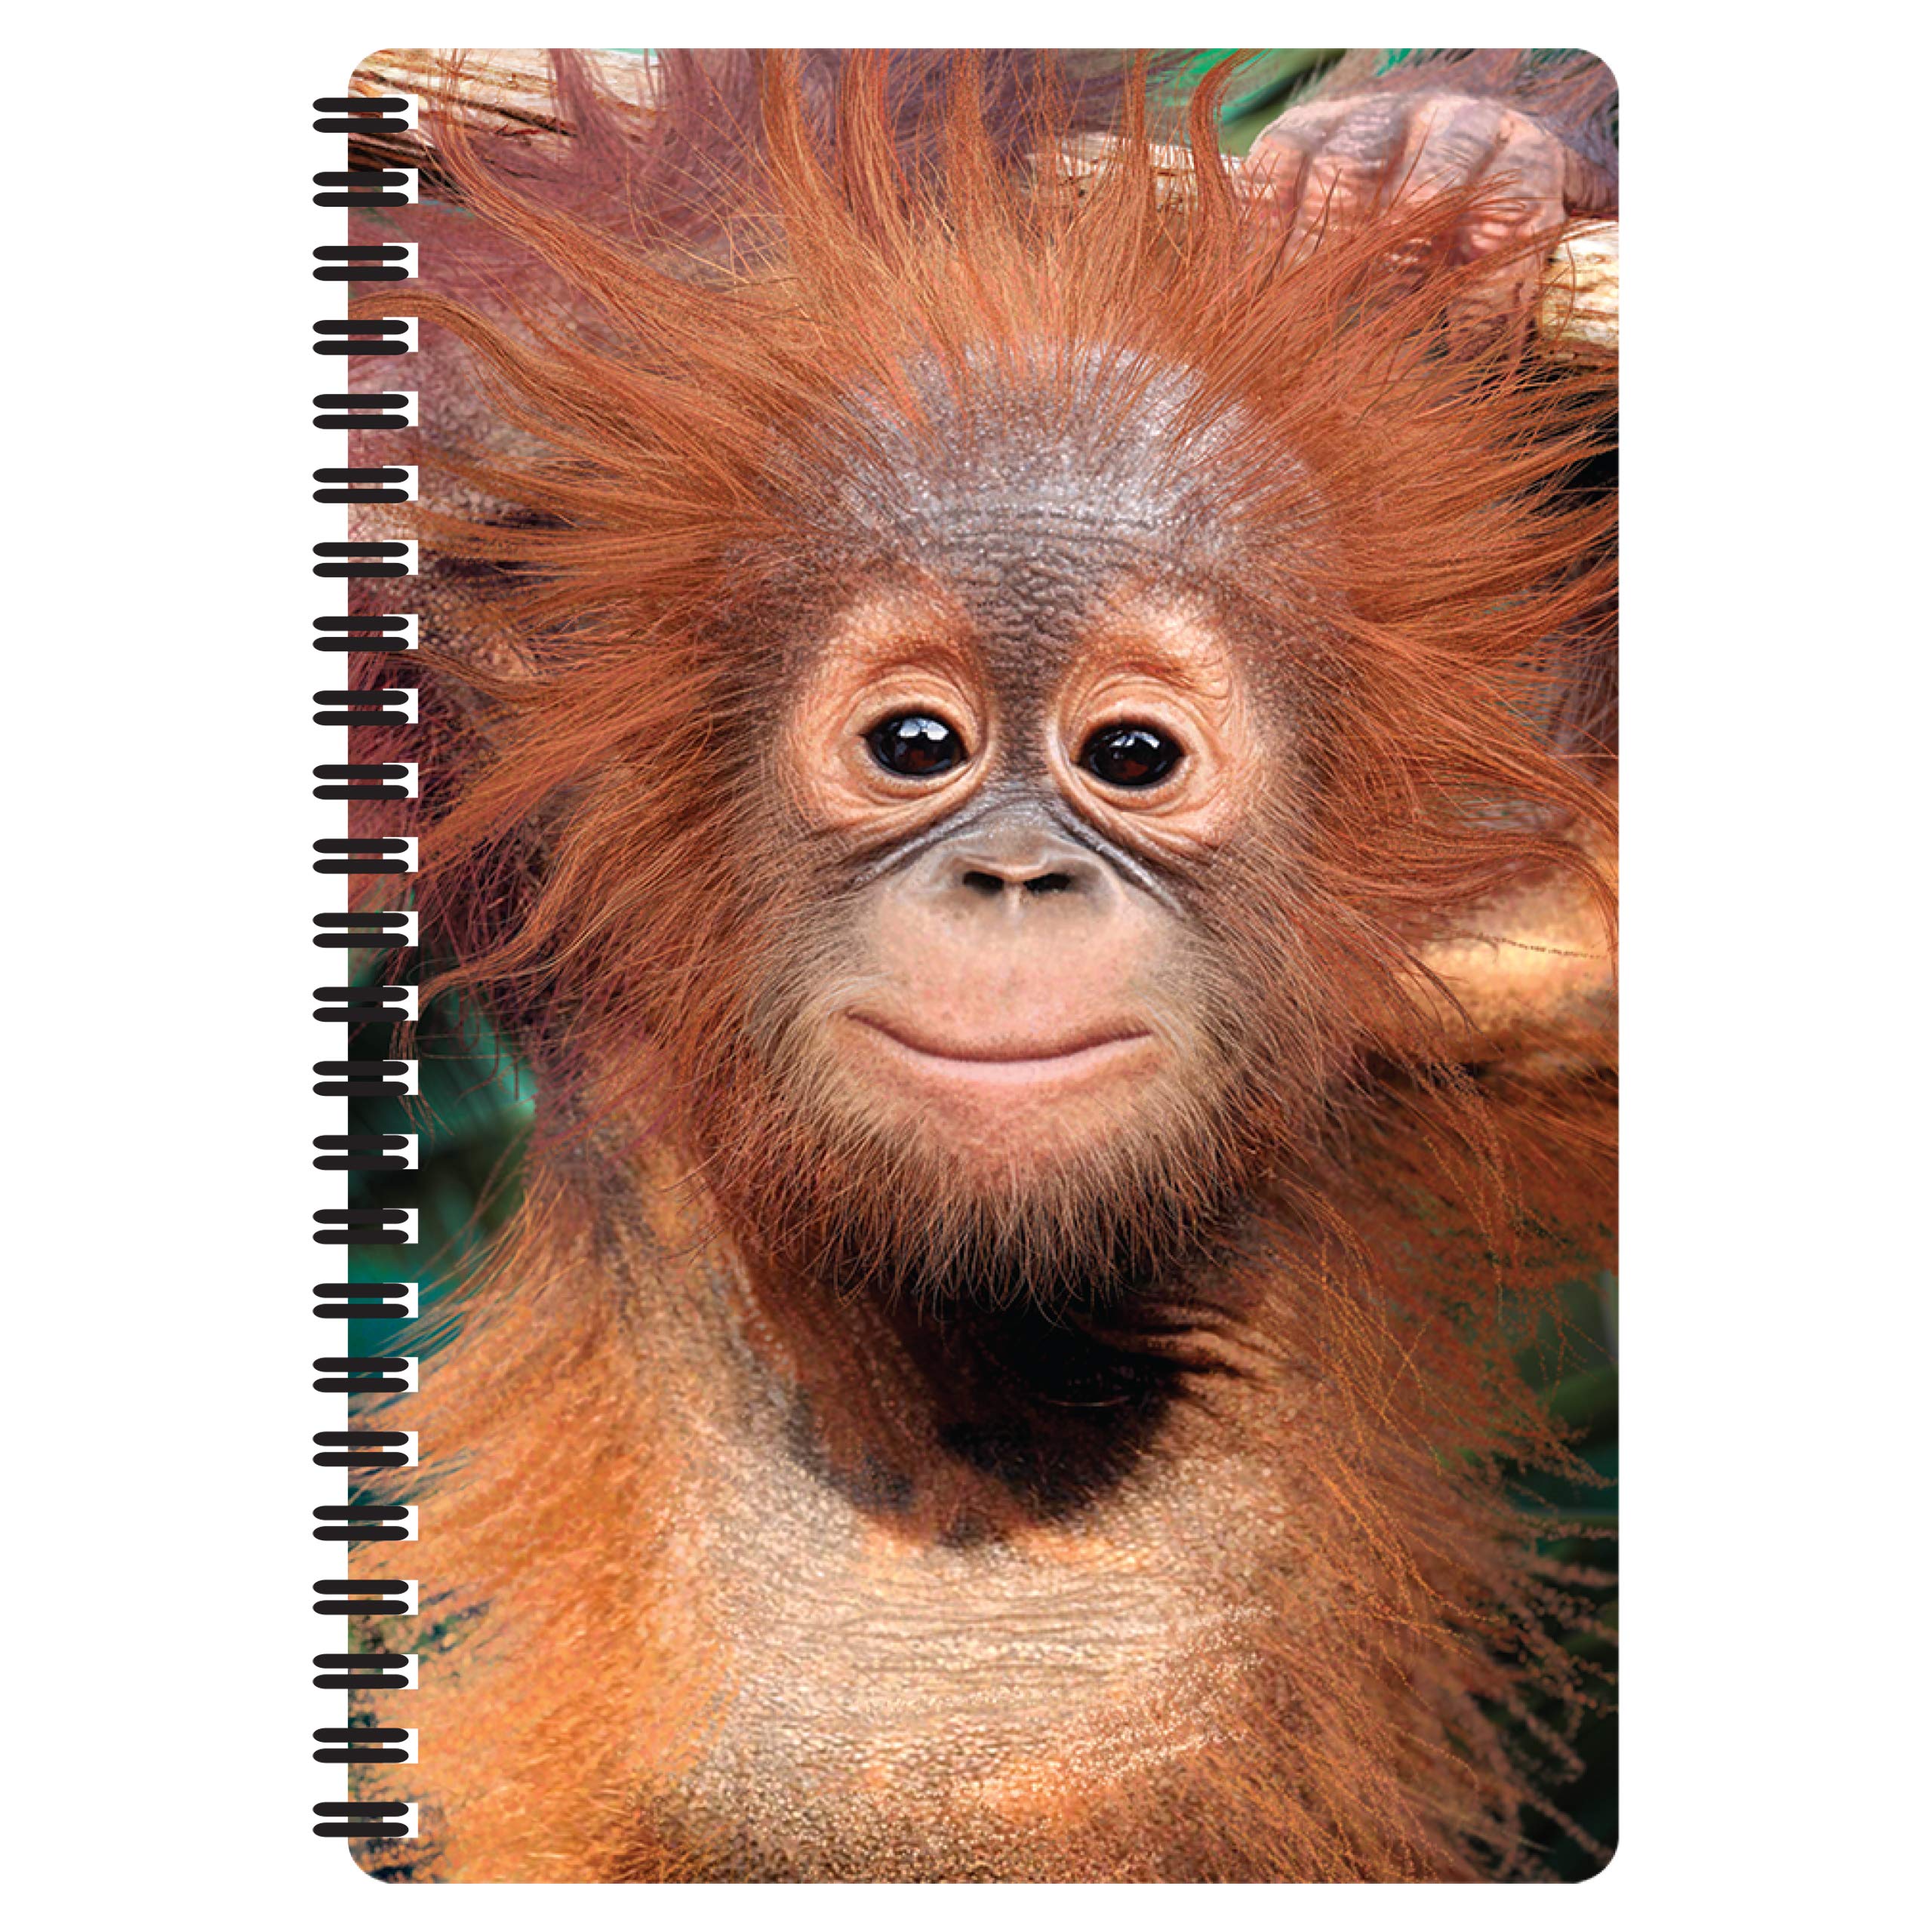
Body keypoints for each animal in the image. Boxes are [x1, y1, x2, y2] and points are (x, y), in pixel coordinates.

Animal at [335, 48, 1618, 1882]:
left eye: (1133, 755)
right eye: (915, 744)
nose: (1014, 874)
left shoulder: (1459, 977)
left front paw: (1447, 157)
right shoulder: (570, 852)